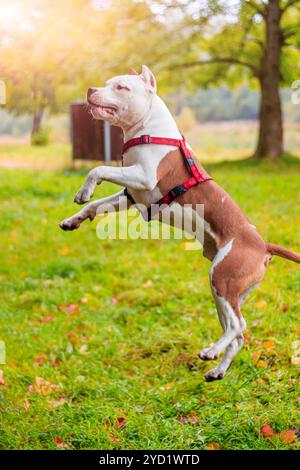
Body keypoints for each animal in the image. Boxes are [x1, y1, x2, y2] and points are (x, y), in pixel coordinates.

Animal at [59, 65, 298, 382]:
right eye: (108, 83)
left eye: (121, 87)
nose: (90, 90)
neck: (147, 130)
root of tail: (263, 245)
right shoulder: (131, 196)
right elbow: (95, 205)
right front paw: (74, 218)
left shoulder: (143, 176)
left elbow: (97, 168)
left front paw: (84, 190)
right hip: (228, 293)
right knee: (237, 334)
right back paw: (217, 370)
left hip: (222, 277)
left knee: (239, 326)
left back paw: (210, 352)